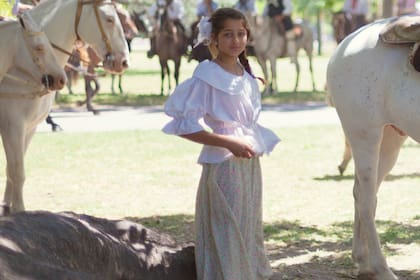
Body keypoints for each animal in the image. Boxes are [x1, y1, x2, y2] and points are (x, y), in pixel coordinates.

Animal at [0, 0, 129, 214]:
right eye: (110, 19)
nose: (124, 61)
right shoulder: (13, 126)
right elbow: (17, 171)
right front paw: (19, 211)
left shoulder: (28, 129)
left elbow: (13, 169)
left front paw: (7, 208)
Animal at [328, 16, 420, 278]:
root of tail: (344, 45)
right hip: (364, 134)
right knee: (366, 200)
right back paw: (380, 268)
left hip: (389, 142)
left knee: (362, 194)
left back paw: (362, 261)